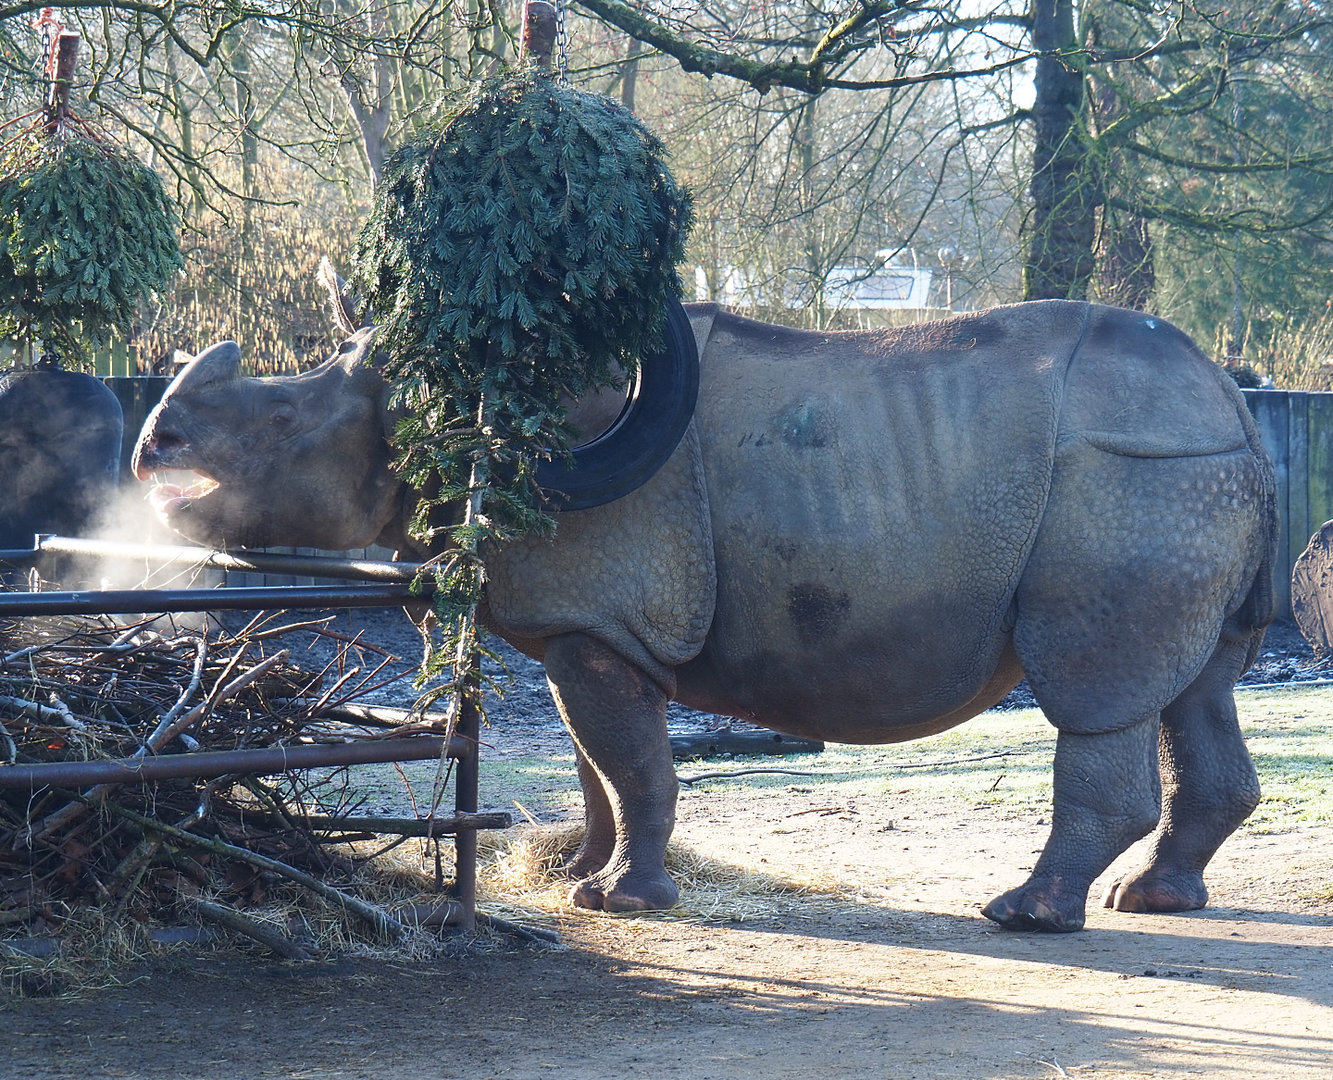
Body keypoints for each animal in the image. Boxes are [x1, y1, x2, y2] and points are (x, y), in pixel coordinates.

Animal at [132, 294, 1277, 932]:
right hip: (1183, 479)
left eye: (280, 418)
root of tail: (1234, 401)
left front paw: (622, 901)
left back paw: (1026, 916)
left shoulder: (597, 614)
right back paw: (1153, 902)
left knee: (1097, 694)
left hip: (1131, 479)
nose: (153, 446)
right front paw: (584, 880)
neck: (464, 406)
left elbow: (630, 760)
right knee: (1198, 688)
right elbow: (599, 766)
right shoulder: (588, 629)